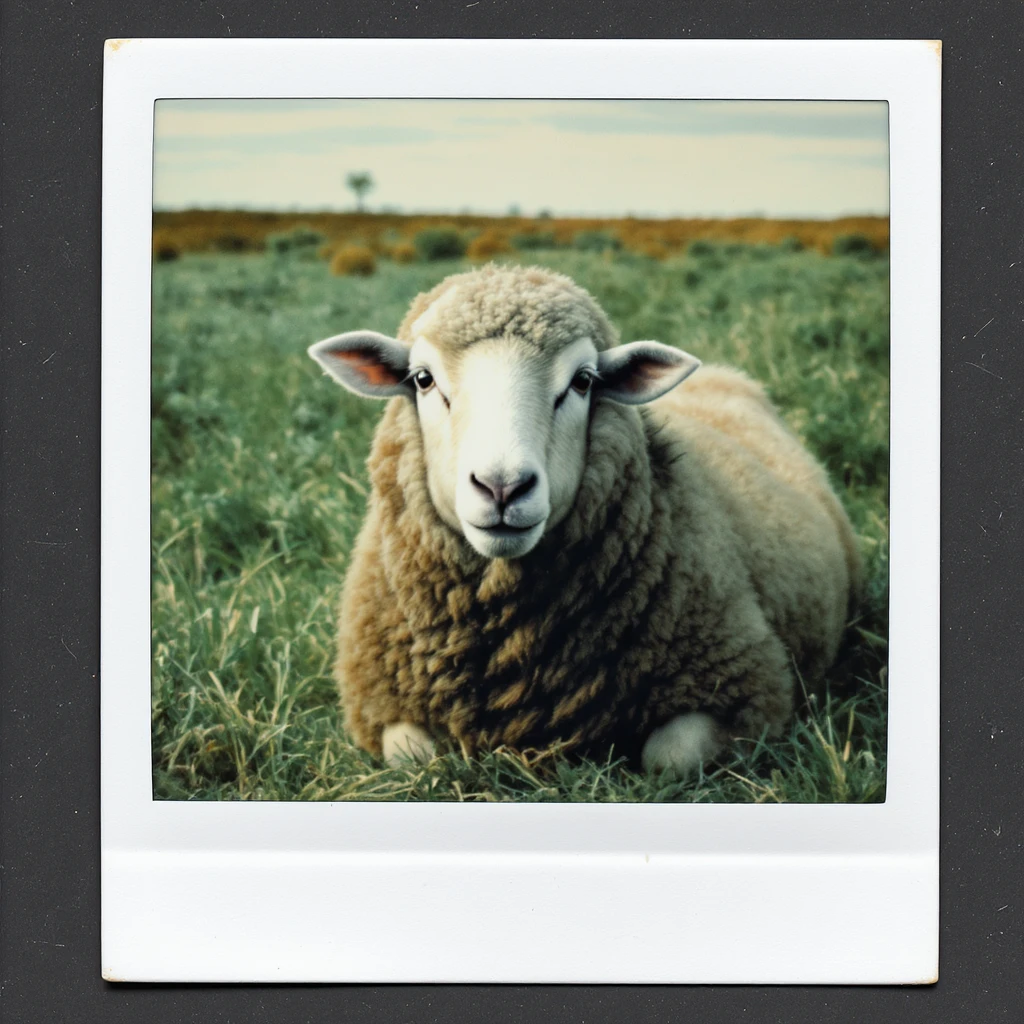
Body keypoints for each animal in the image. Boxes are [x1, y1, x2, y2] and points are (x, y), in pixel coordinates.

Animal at [308, 264, 862, 776]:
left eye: (583, 381)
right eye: (422, 379)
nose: (502, 487)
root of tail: (722, 373)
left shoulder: (746, 688)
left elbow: (671, 756)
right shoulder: (382, 704)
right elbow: (414, 757)